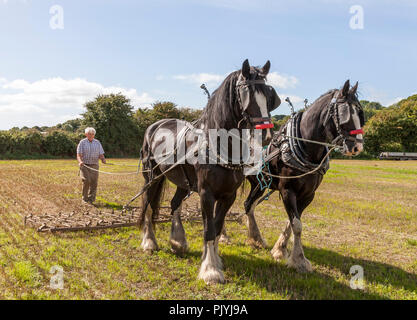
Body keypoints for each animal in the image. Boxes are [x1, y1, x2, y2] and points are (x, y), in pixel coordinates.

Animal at [139, 58, 280, 284]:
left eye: (269, 95)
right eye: (246, 93)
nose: (266, 134)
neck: (221, 145)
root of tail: (156, 124)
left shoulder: (228, 195)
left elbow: (217, 225)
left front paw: (212, 259)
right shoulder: (206, 193)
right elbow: (209, 229)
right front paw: (210, 269)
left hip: (182, 181)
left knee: (174, 204)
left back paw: (178, 241)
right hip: (152, 177)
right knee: (149, 204)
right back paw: (150, 242)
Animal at [242, 80, 362, 272]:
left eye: (359, 112)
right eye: (344, 114)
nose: (357, 146)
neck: (304, 147)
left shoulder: (308, 194)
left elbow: (292, 222)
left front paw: (280, 249)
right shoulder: (287, 190)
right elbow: (297, 225)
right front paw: (299, 260)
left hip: (259, 184)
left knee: (248, 205)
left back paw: (256, 238)